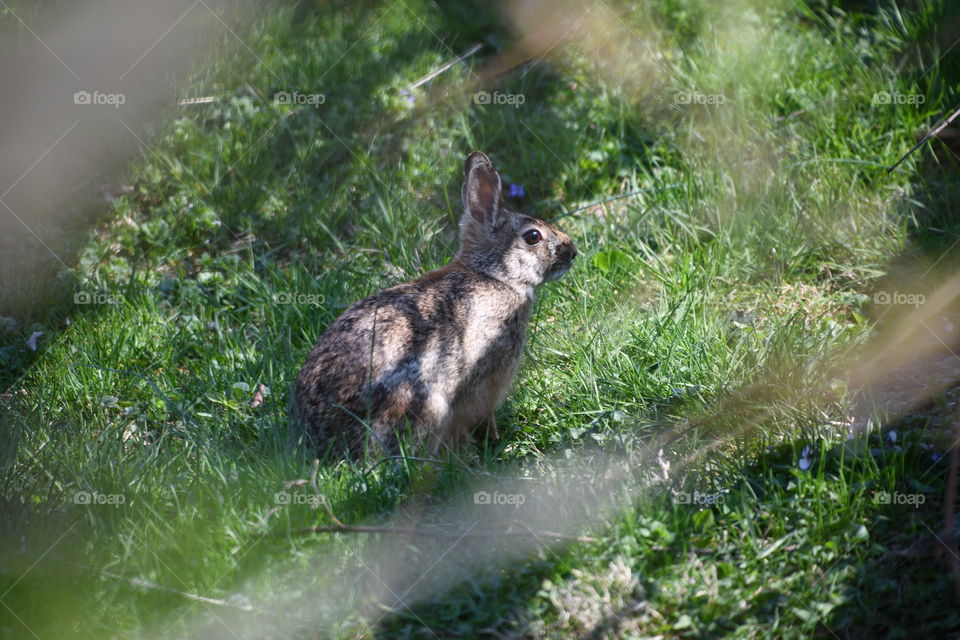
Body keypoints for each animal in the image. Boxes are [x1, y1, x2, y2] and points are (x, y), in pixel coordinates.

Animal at [292, 151, 576, 460]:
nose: (572, 251)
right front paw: (492, 440)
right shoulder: (488, 374)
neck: (494, 275)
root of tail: (326, 443)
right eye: (533, 237)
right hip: (425, 403)